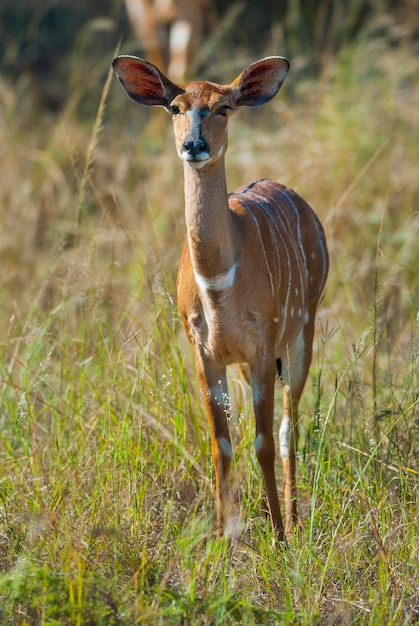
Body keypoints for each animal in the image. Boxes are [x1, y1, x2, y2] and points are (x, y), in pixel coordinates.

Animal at [113, 56, 330, 540]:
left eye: (224, 107)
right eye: (175, 107)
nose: (194, 145)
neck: (218, 284)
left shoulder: (262, 344)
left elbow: (263, 442)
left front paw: (278, 536)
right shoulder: (205, 353)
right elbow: (221, 445)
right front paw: (220, 536)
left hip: (301, 333)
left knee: (288, 428)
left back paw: (292, 518)